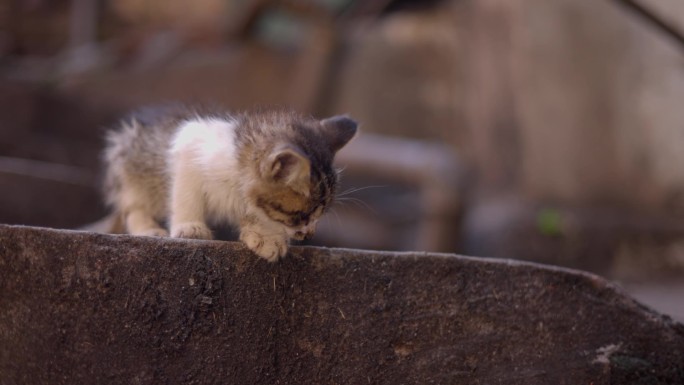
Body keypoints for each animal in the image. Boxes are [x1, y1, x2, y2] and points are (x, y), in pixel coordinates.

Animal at [103, 105, 358, 260]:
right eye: (302, 215)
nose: (309, 235)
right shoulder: (189, 145)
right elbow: (185, 192)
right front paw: (189, 226)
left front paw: (265, 235)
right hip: (129, 160)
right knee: (133, 205)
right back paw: (147, 227)